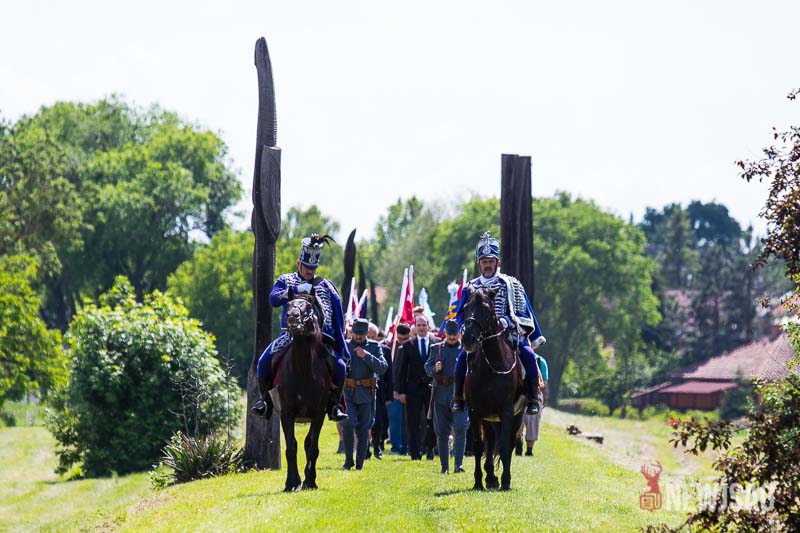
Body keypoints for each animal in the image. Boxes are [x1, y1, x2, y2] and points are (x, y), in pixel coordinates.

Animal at [273, 291, 331, 492]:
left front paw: (310, 481)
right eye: (289, 304)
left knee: (308, 443)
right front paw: (291, 482)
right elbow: (291, 447)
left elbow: (313, 447)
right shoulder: (287, 413)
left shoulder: (319, 413)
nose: (292, 317)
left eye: (308, 307)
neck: (303, 370)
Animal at [461, 286, 525, 491]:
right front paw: (478, 482)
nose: (468, 340)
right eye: (465, 307)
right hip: (489, 417)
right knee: (489, 442)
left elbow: (504, 447)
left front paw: (506, 481)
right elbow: (478, 446)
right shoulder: (475, 412)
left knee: (509, 443)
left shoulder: (507, 412)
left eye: (487, 309)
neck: (491, 367)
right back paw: (490, 477)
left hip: (517, 415)